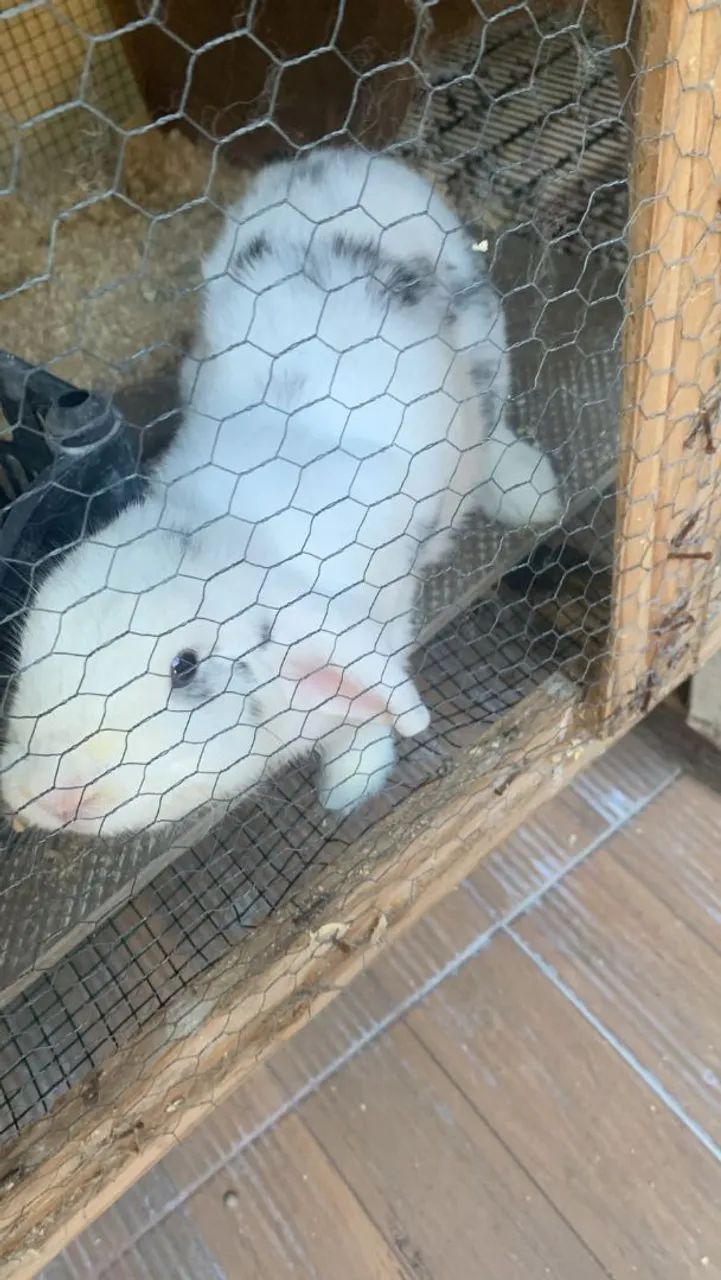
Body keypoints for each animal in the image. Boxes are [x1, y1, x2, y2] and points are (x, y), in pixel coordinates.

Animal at [0, 146, 561, 837]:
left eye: (184, 667)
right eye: (39, 634)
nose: (47, 796)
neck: (233, 531)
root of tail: (343, 159)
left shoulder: (386, 613)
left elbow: (375, 704)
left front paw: (350, 787)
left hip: (484, 340)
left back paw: (531, 491)